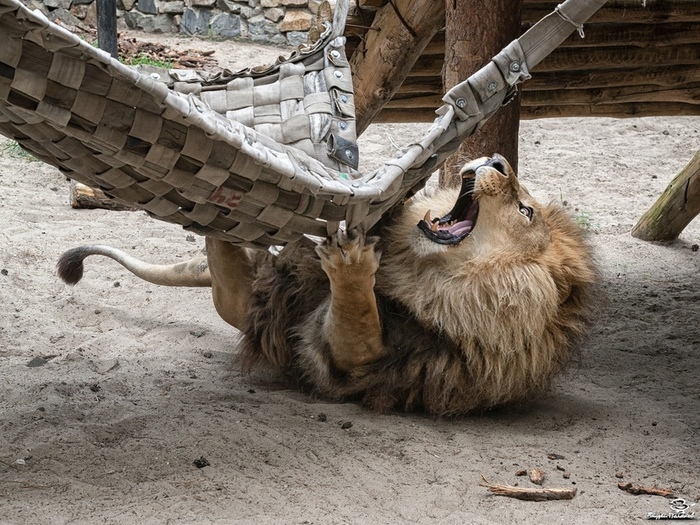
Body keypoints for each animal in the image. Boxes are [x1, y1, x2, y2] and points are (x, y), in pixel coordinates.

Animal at [57, 154, 600, 416]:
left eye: (525, 210)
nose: (496, 159)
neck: (429, 273)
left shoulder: (355, 365)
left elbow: (357, 316)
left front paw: (352, 260)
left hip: (247, 308)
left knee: (230, 275)